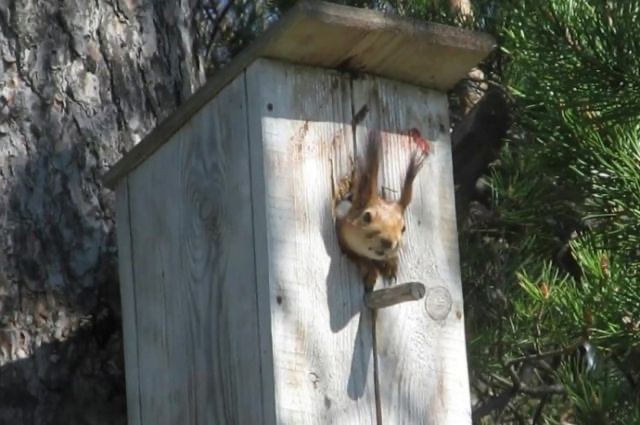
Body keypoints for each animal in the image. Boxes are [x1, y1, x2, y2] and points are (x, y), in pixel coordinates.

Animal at [336, 131, 430, 290]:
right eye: (366, 217)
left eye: (403, 228)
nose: (388, 242)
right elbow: (355, 255)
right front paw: (370, 269)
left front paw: (391, 263)